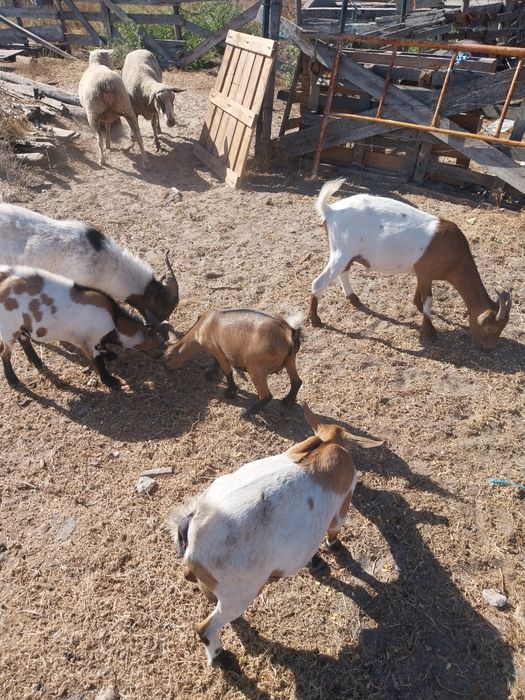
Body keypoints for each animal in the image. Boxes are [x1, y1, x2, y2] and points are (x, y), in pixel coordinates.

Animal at [0, 265, 165, 389]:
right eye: (156, 343)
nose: (160, 355)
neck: (113, 319)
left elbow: (103, 348)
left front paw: (110, 355)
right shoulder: (87, 340)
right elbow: (97, 360)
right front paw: (111, 382)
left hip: (21, 326)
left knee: (24, 340)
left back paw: (37, 362)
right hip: (8, 329)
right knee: (4, 352)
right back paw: (13, 380)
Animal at [163, 308, 303, 416]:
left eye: (166, 358)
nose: (166, 369)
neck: (202, 327)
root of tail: (289, 333)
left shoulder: (221, 353)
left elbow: (227, 372)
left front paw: (230, 392)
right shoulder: (218, 351)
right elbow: (215, 362)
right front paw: (210, 374)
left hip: (256, 369)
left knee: (267, 396)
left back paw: (247, 413)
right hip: (290, 360)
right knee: (297, 382)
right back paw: (287, 401)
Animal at [167, 403, 382, 667]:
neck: (324, 445)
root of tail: (194, 530)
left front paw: (317, 562)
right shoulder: (343, 502)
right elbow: (334, 529)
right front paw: (333, 549)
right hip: (240, 593)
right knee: (205, 628)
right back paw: (223, 659)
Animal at [309, 178, 512, 349]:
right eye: (490, 328)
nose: (487, 348)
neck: (455, 254)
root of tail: (331, 211)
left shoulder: (422, 272)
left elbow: (420, 293)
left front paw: (417, 306)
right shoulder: (426, 272)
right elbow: (429, 300)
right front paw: (430, 330)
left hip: (348, 253)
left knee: (343, 272)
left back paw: (353, 298)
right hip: (341, 251)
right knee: (319, 282)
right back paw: (315, 320)